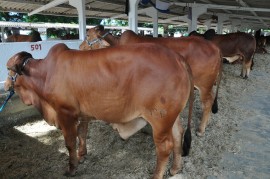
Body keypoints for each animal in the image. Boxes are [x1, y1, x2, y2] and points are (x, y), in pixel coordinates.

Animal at [4, 42, 194, 178]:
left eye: (8, 70)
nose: (5, 85)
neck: (44, 74)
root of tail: (177, 58)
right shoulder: (82, 114)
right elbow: (82, 134)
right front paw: (82, 155)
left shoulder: (65, 113)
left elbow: (70, 143)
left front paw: (71, 168)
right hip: (171, 116)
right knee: (178, 134)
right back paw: (175, 169)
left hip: (159, 119)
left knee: (164, 147)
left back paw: (157, 175)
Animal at [79, 25, 223, 136]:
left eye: (87, 35)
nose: (79, 47)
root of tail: (215, 47)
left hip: (204, 84)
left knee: (207, 102)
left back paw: (201, 129)